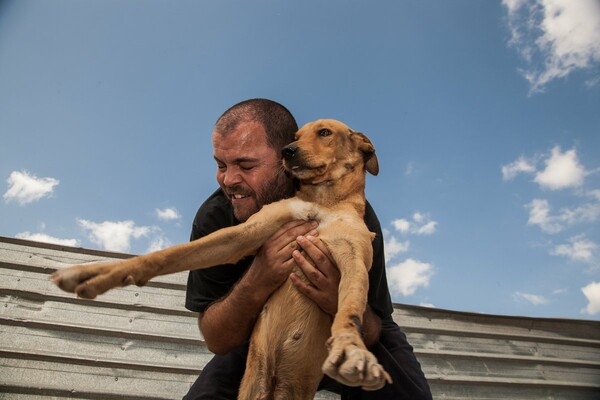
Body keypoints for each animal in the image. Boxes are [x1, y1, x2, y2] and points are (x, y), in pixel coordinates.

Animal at [52, 119, 394, 400]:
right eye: (295, 136)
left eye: (324, 132)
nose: (288, 151)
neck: (323, 201)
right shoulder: (243, 234)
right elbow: (171, 254)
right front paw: (98, 273)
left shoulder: (353, 260)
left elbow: (350, 309)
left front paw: (351, 349)